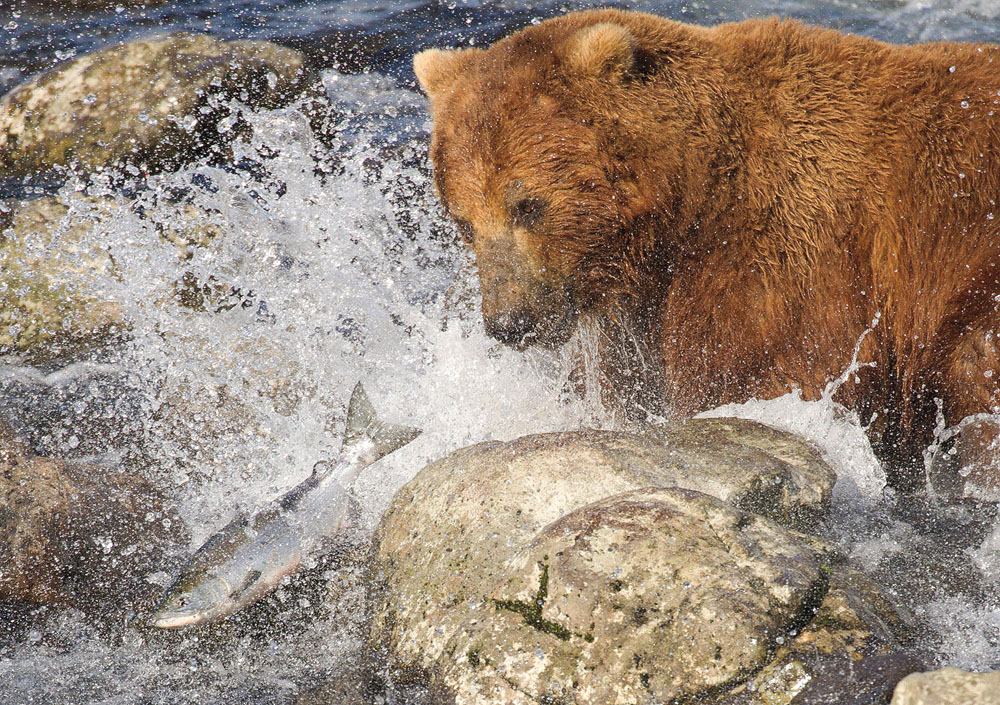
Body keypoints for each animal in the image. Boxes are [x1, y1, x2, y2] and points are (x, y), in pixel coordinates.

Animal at [412, 9, 1000, 496]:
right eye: (463, 220)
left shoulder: (784, 255)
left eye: (527, 205)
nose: (510, 322)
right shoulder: (640, 304)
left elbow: (763, 373)